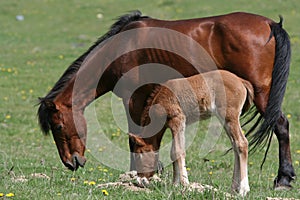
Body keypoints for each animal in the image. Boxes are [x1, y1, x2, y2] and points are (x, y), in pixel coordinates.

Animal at [36, 10, 294, 189]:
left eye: (58, 126)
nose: (71, 163)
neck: (120, 48)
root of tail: (270, 24)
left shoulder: (133, 98)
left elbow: (135, 137)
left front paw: (137, 174)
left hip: (263, 95)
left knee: (281, 126)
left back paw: (283, 178)